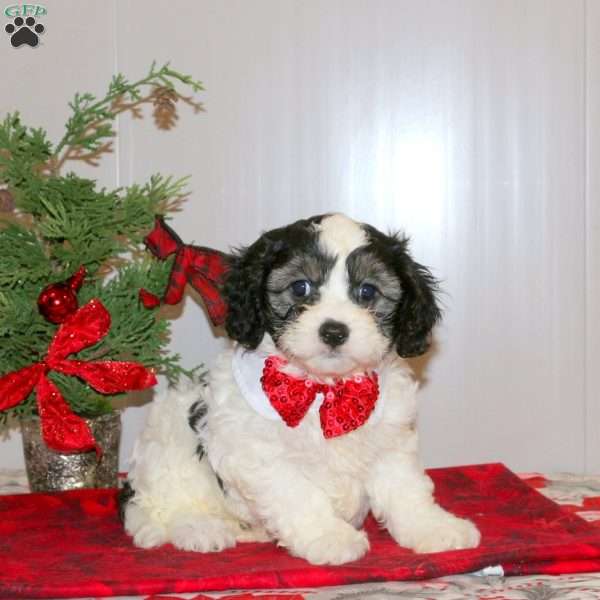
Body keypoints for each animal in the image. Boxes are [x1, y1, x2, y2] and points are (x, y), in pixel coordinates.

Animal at [124, 214, 480, 564]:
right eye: (300, 287)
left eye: (367, 292)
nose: (334, 331)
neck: (324, 388)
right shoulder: (261, 454)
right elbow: (298, 496)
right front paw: (330, 538)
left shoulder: (389, 442)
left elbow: (405, 490)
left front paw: (433, 527)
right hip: (169, 437)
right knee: (158, 506)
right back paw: (200, 528)